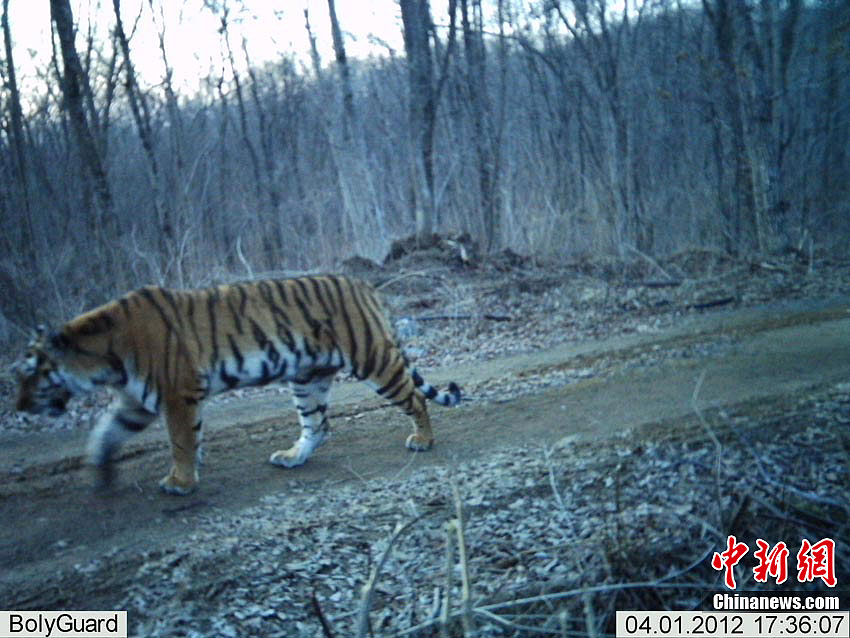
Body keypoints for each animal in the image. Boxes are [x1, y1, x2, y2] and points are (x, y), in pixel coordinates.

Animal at [13, 275, 461, 495]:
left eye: (30, 372)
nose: (18, 406)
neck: (103, 359)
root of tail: (360, 284)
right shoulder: (134, 403)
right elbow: (105, 434)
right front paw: (99, 475)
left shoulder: (177, 393)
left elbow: (180, 441)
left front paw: (181, 482)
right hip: (307, 376)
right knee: (318, 425)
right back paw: (292, 457)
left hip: (371, 357)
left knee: (414, 397)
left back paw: (423, 440)